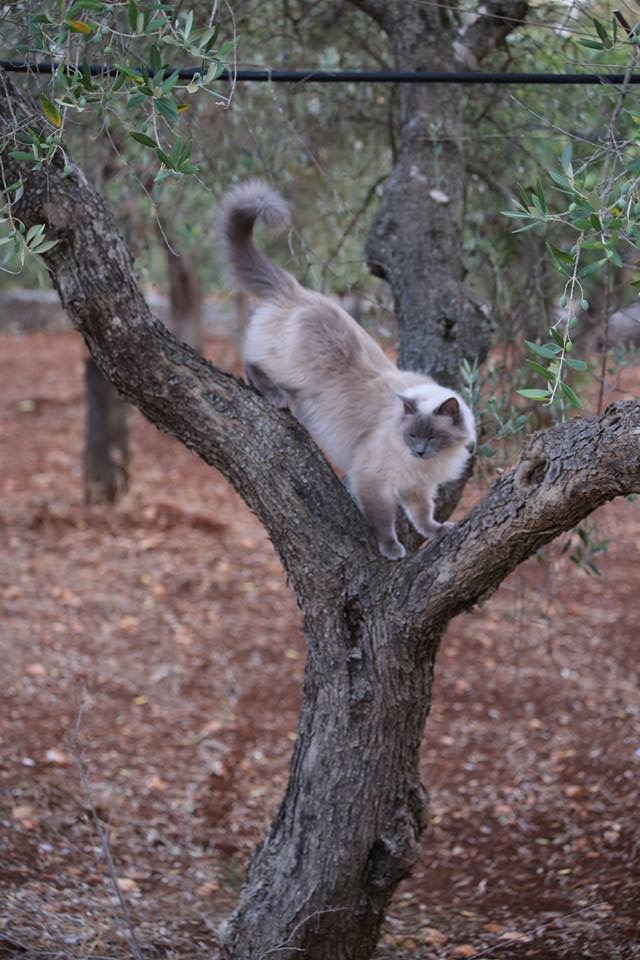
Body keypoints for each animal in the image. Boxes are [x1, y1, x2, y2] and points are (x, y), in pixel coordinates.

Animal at [219, 180, 476, 560]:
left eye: (432, 438)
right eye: (413, 436)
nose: (418, 451)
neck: (424, 465)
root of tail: (299, 291)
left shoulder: (417, 489)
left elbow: (422, 516)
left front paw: (438, 531)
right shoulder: (374, 480)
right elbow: (384, 521)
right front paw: (392, 551)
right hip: (292, 371)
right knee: (251, 361)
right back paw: (276, 397)